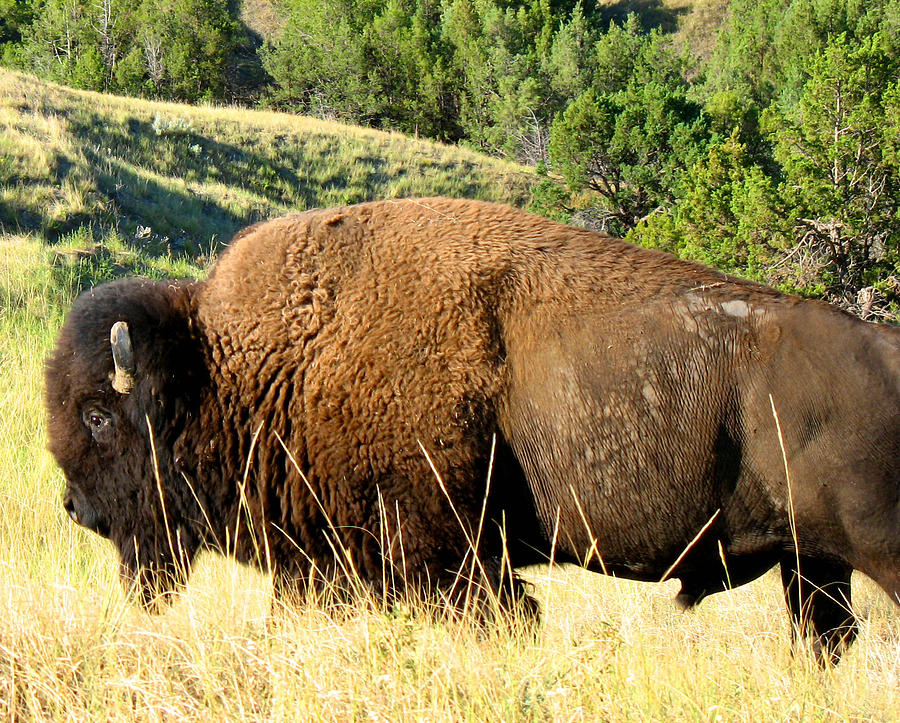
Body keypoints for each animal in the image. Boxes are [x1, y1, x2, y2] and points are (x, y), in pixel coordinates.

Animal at [49, 197, 900, 660]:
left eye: (98, 413)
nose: (74, 509)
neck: (239, 361)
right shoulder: (325, 562)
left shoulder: (448, 552)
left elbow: (500, 612)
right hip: (811, 564)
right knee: (826, 633)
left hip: (874, 550)